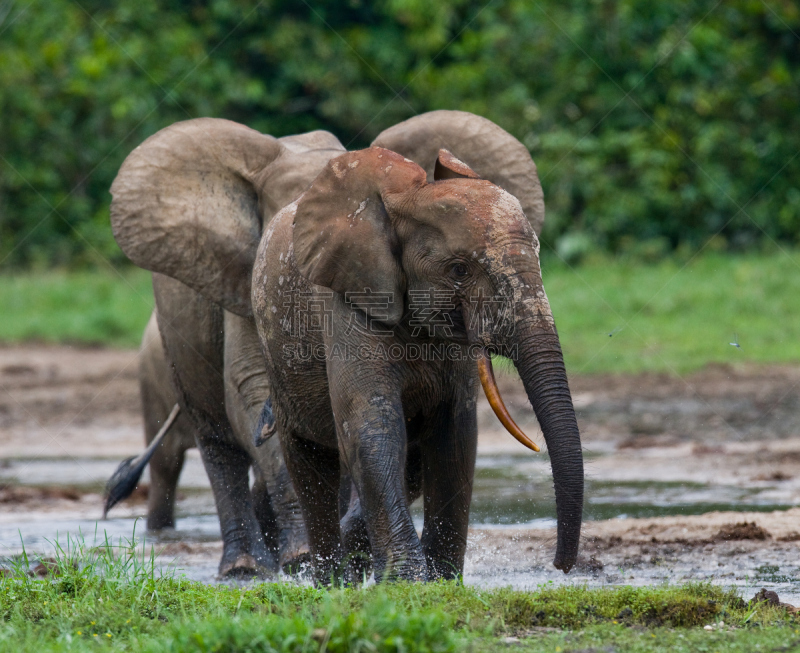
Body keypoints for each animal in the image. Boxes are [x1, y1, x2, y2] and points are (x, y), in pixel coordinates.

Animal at [109, 109, 584, 584]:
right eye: (459, 269)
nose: (560, 567)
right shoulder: (327, 299)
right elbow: (365, 424)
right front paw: (406, 580)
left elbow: (453, 436)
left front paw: (439, 579)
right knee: (242, 445)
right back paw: (281, 570)